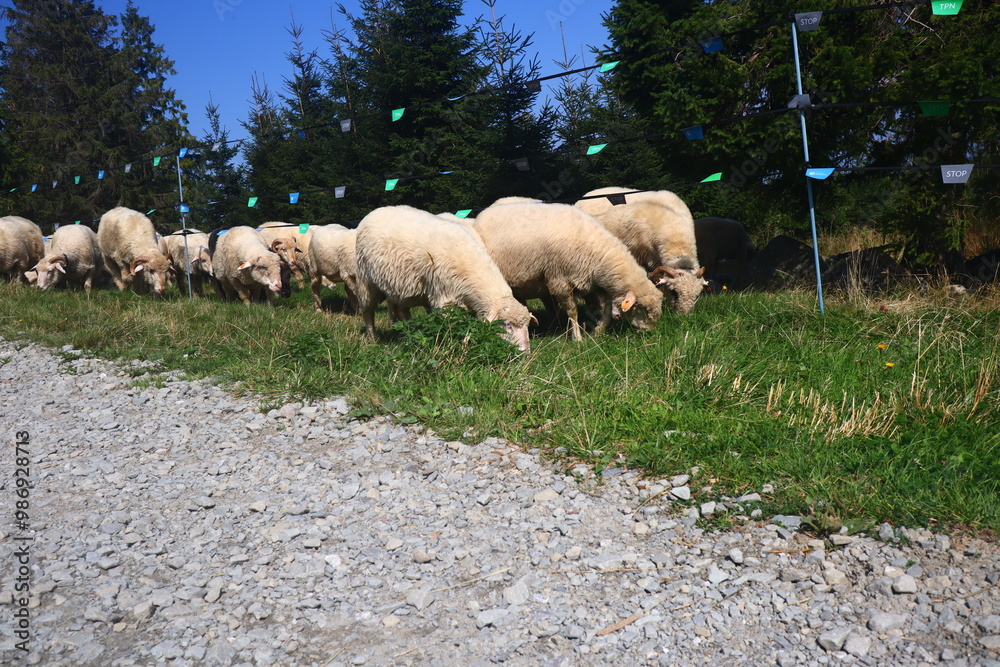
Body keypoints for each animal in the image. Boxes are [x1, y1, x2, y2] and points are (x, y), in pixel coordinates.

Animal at [355, 205, 533, 352]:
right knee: (368, 312)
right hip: (365, 281)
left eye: (527, 326)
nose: (525, 353)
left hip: (401, 287)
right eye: (507, 325)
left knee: (401, 311)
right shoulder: (446, 299)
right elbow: (451, 326)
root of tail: (377, 210)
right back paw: (372, 338)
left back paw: (409, 334)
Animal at [473, 201, 663, 341]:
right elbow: (573, 311)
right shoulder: (560, 280)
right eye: (641, 308)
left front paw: (599, 328)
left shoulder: (592, 281)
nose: (650, 333)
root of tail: (483, 213)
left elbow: (607, 306)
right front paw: (577, 338)